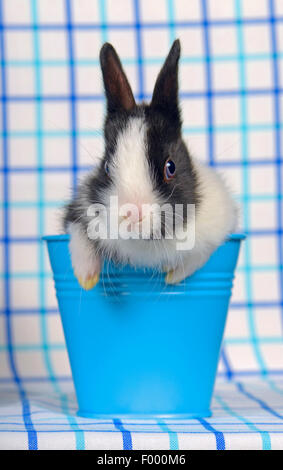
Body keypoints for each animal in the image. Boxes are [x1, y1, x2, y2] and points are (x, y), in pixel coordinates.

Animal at [63, 39, 239, 290]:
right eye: (107, 168)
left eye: (170, 167)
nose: (131, 214)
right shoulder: (79, 208)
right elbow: (77, 233)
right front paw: (86, 277)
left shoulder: (222, 222)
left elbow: (199, 255)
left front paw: (172, 275)